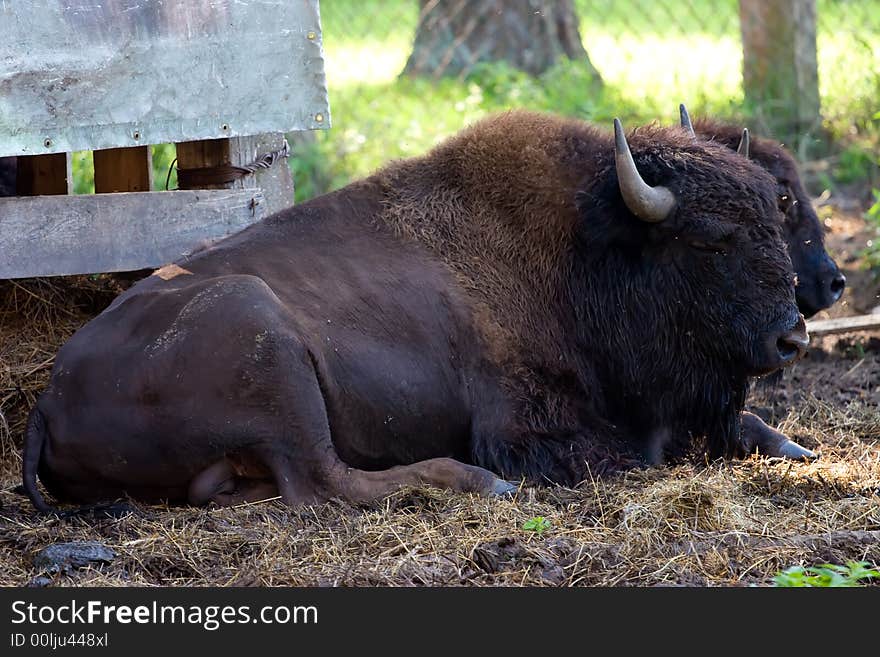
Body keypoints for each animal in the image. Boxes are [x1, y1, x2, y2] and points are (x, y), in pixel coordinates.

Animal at [20, 110, 808, 510]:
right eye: (709, 240)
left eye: (777, 216)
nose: (792, 339)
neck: (583, 250)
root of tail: (49, 396)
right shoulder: (525, 425)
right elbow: (626, 453)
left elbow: (748, 428)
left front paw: (797, 448)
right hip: (266, 341)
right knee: (322, 482)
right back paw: (480, 482)